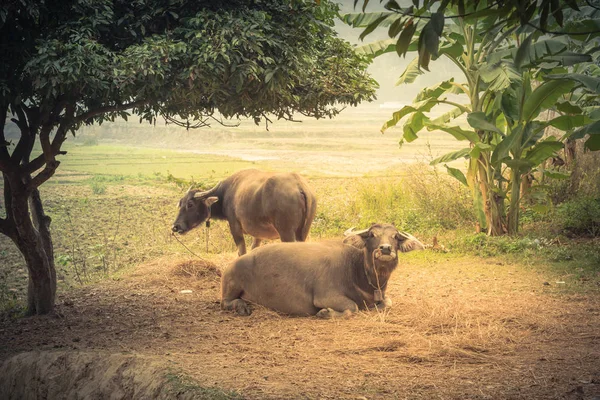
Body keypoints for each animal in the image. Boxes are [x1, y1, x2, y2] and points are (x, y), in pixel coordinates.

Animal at [171, 169, 316, 256]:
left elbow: (242, 252)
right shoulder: (258, 234)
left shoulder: (235, 227)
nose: (175, 227)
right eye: (180, 203)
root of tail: (299, 186)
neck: (225, 193)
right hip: (303, 233)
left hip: (287, 233)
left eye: (190, 204)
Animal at [221, 223, 426, 318]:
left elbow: (388, 303)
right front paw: (325, 313)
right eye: (372, 235)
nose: (385, 249)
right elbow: (352, 307)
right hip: (231, 287)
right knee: (225, 302)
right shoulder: (326, 297)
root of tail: (233, 264)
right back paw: (242, 307)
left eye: (395, 237)